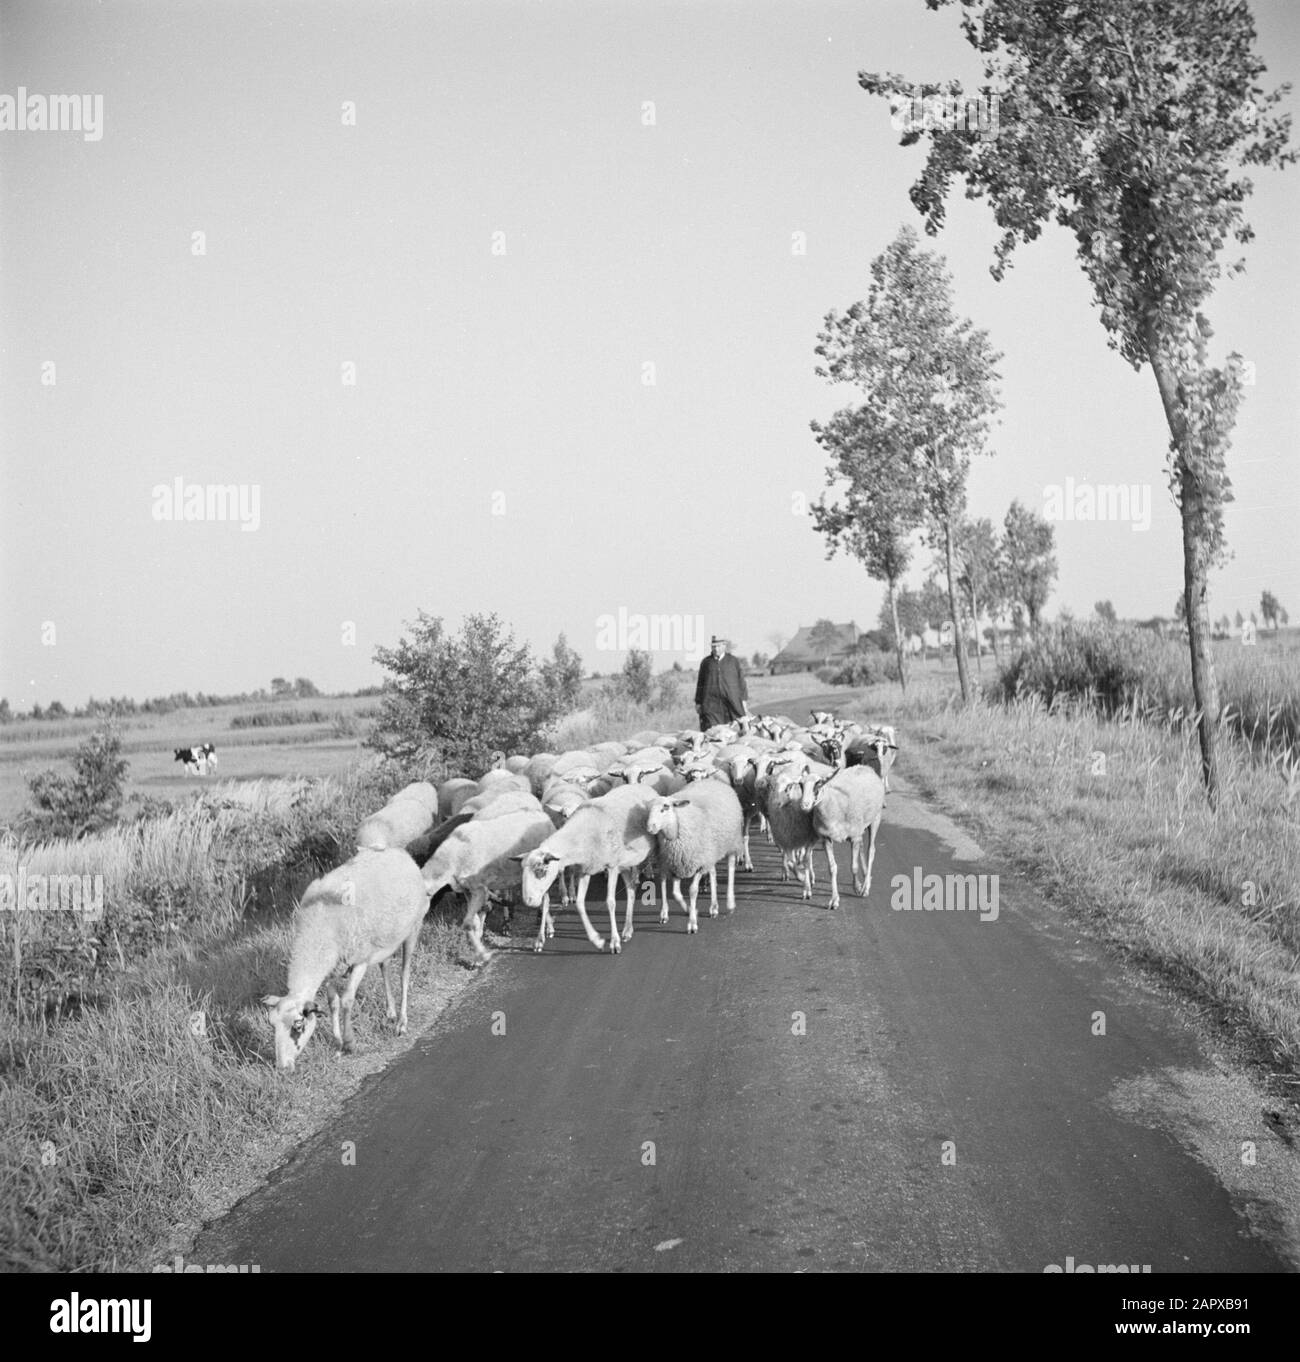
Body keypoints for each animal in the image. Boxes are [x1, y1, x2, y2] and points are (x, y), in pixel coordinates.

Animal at [261, 844, 427, 1067]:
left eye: (298, 1025)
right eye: (272, 1025)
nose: (282, 1067)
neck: (318, 935)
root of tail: (396, 850)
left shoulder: (360, 961)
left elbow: (347, 999)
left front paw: (349, 1044)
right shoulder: (333, 968)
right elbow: (333, 1003)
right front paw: (338, 1044)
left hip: (413, 928)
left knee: (404, 975)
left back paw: (401, 1022)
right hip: (384, 939)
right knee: (384, 966)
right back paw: (391, 1013)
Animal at [419, 806, 553, 969]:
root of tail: (544, 816)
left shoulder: (479, 889)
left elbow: (468, 924)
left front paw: (483, 955)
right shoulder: (467, 890)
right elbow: (475, 922)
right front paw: (477, 957)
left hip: (541, 874)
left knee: (545, 901)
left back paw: (539, 940)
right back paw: (550, 928)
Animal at [515, 784, 659, 953]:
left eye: (541, 871)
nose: (528, 900)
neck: (581, 835)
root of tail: (641, 785)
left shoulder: (612, 867)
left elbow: (610, 902)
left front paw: (614, 942)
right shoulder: (586, 870)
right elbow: (579, 904)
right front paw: (597, 940)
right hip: (623, 864)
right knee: (631, 891)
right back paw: (627, 930)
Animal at [645, 784, 746, 931]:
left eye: (666, 807)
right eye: (648, 810)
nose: (650, 827)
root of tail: (714, 781)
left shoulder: (699, 865)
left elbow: (693, 890)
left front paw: (692, 923)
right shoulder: (673, 865)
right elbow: (675, 893)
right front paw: (683, 911)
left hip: (731, 842)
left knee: (731, 867)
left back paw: (730, 903)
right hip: (710, 851)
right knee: (713, 872)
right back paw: (713, 907)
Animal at [784, 768, 888, 915]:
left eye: (819, 783)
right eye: (801, 784)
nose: (804, 805)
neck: (834, 804)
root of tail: (866, 768)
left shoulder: (854, 837)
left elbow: (853, 866)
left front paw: (857, 887)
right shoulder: (826, 839)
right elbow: (832, 868)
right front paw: (834, 900)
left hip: (875, 819)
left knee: (871, 850)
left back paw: (865, 887)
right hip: (859, 830)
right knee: (863, 848)